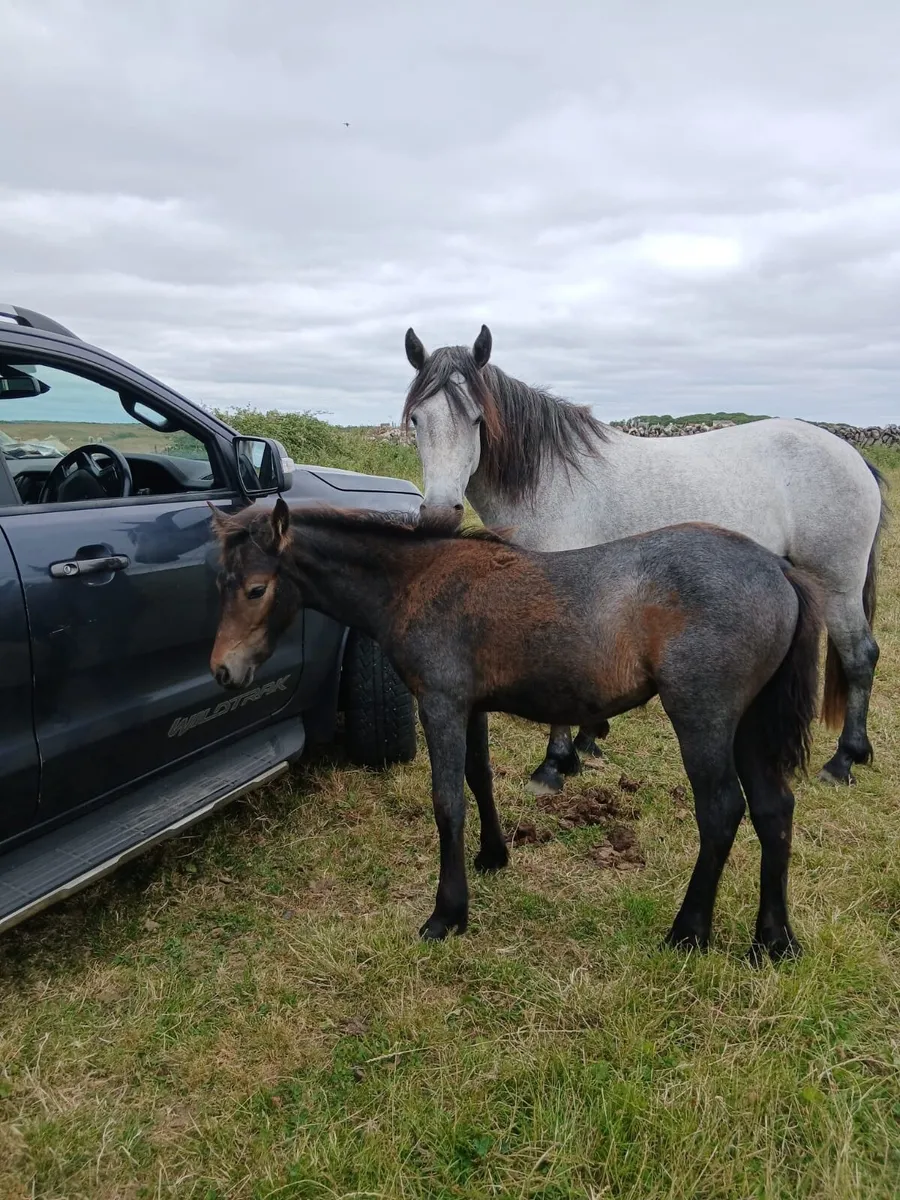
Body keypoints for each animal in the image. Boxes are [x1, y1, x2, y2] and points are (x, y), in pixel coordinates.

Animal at [208, 497, 823, 960]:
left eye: (257, 588)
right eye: (222, 582)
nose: (222, 671)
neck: (418, 580)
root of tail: (778, 569)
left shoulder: (440, 703)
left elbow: (448, 801)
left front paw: (447, 914)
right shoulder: (472, 705)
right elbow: (479, 778)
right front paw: (493, 857)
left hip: (703, 718)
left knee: (721, 810)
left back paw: (687, 932)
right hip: (749, 724)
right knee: (774, 809)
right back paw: (773, 941)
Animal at [401, 325, 886, 792]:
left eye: (477, 419)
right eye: (417, 420)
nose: (439, 514)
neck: (552, 480)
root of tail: (851, 455)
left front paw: (555, 764)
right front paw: (587, 743)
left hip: (837, 584)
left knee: (860, 656)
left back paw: (843, 760)